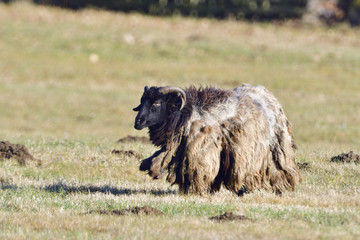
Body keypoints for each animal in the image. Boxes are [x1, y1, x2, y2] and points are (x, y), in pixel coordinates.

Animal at [132, 84, 300, 195]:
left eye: (156, 103)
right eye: (141, 102)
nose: (137, 122)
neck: (188, 115)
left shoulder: (202, 151)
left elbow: (198, 171)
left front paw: (195, 191)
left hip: (275, 148)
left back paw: (281, 187)